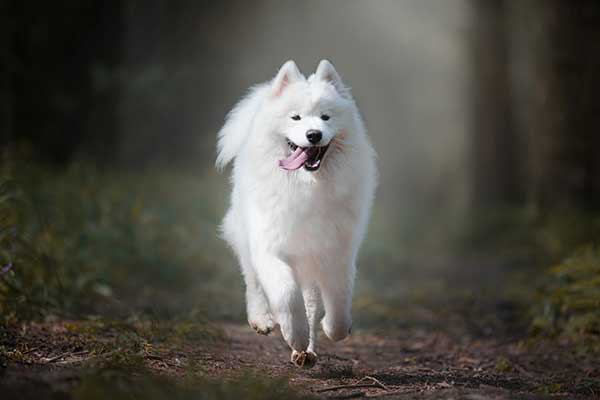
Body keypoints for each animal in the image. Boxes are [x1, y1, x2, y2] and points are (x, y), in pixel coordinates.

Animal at [216, 60, 376, 368]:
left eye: (326, 117)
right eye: (296, 118)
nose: (313, 134)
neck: (307, 187)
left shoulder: (335, 252)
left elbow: (338, 304)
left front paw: (330, 330)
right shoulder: (271, 248)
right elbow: (286, 295)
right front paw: (294, 334)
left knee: (312, 305)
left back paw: (307, 353)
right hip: (245, 237)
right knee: (253, 281)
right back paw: (263, 320)